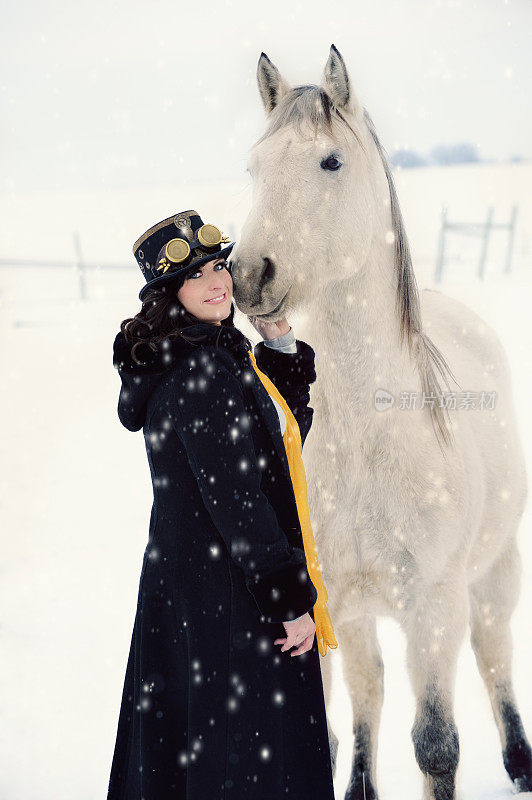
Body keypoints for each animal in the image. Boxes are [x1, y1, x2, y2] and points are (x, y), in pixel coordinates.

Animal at [231, 42, 528, 800]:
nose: (248, 274)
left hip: (495, 572)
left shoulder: (434, 606)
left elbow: (437, 746)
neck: (364, 442)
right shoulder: (323, 608)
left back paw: (519, 761)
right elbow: (340, 728)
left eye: (331, 162)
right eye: (253, 167)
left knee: (494, 654)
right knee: (370, 694)